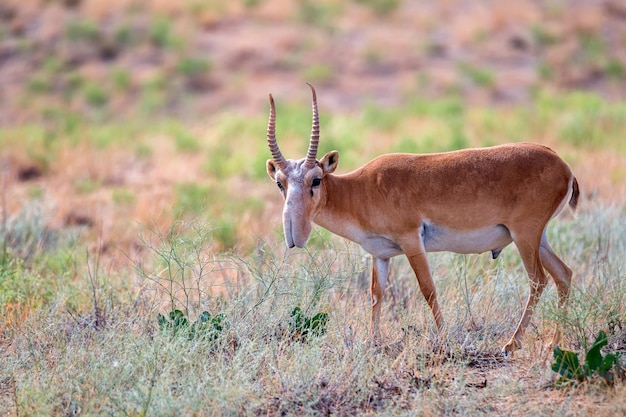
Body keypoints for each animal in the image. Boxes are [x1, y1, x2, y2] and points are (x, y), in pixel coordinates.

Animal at [264, 84, 576, 354]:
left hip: (525, 237)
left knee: (538, 280)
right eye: (280, 183)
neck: (362, 188)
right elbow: (376, 294)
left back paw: (511, 344)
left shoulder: (412, 241)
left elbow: (428, 290)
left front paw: (444, 340)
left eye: (316, 179)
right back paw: (554, 342)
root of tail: (562, 164)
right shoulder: (381, 254)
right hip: (538, 239)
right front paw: (373, 343)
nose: (293, 235)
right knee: (563, 275)